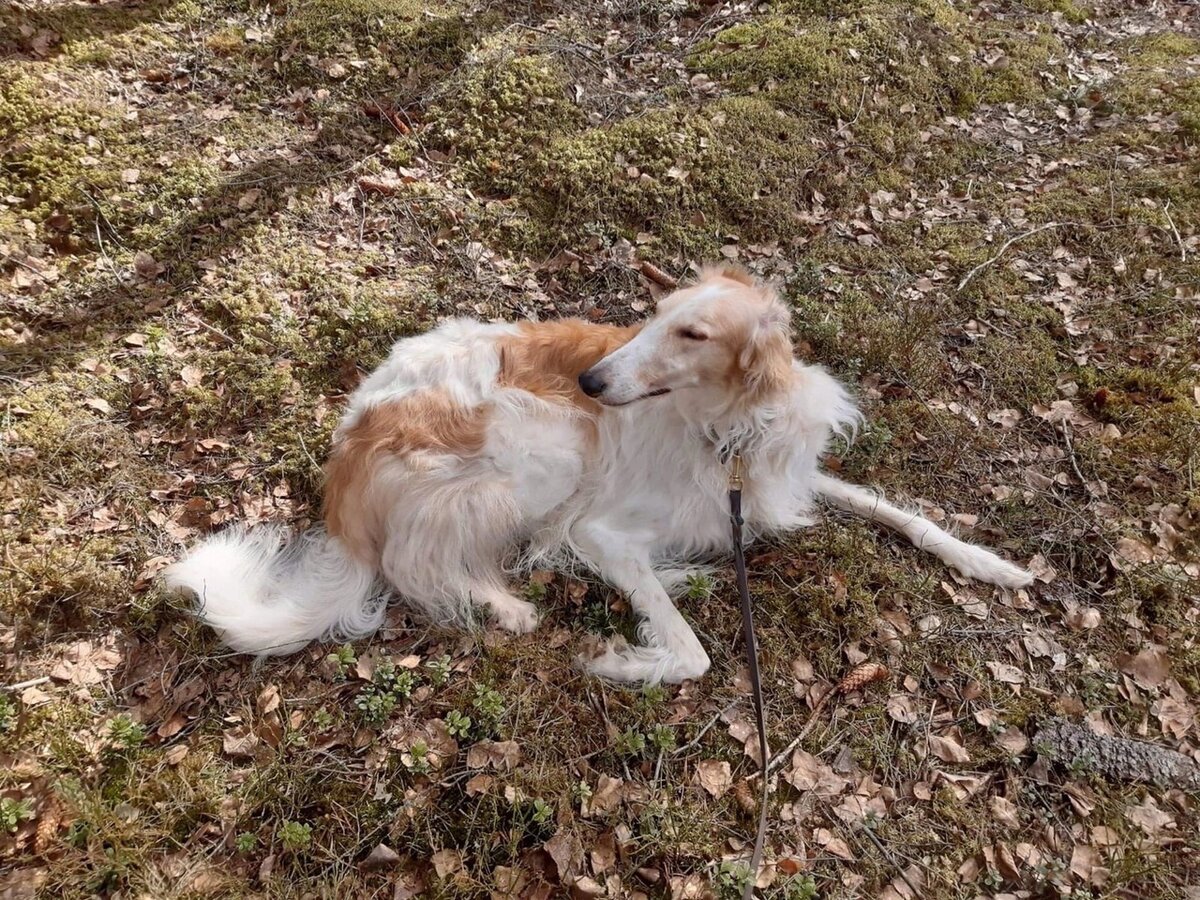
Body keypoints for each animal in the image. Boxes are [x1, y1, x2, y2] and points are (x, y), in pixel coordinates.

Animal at [166, 266, 1032, 681]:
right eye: (651, 317)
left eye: (691, 332)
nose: (589, 382)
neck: (723, 430)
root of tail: (347, 452)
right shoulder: (602, 529)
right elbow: (692, 654)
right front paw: (623, 660)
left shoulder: (775, 483)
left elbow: (905, 514)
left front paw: (993, 564)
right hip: (543, 454)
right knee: (418, 561)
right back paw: (509, 606)